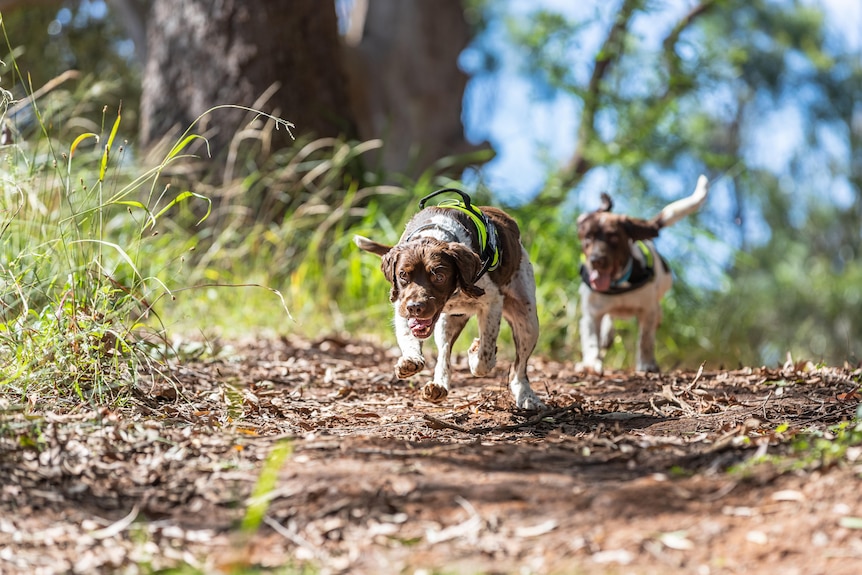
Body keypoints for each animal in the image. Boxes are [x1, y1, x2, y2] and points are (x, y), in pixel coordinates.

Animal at [352, 191, 544, 412]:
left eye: (439, 276)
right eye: (403, 275)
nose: (415, 308)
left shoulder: (492, 303)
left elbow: (484, 359)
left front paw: (475, 352)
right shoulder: (402, 304)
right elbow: (409, 337)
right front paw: (411, 360)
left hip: (527, 318)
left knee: (519, 367)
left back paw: (526, 395)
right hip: (448, 322)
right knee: (444, 353)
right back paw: (439, 387)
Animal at [576, 176, 712, 374]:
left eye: (613, 238)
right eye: (588, 238)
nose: (596, 260)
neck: (619, 283)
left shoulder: (647, 311)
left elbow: (645, 340)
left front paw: (647, 364)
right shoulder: (591, 313)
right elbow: (592, 340)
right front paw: (590, 363)